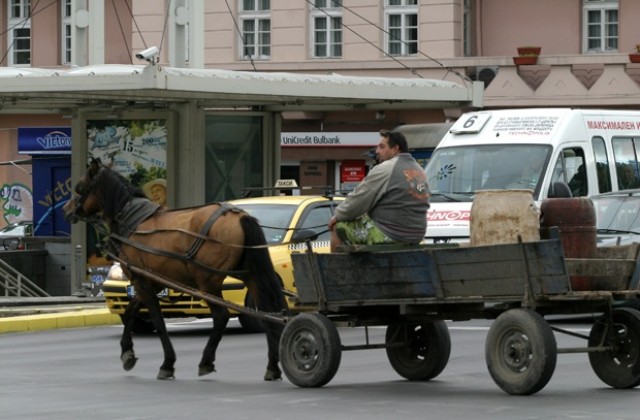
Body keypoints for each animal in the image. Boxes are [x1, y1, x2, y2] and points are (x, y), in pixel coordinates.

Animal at [63, 160, 288, 380]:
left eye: (80, 187)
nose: (66, 209)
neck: (133, 222)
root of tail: (239, 215)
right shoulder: (150, 281)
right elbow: (130, 310)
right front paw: (128, 352)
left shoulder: (141, 281)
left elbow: (158, 320)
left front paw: (167, 363)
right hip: (251, 276)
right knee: (268, 313)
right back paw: (272, 367)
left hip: (208, 281)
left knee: (221, 316)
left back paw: (206, 361)